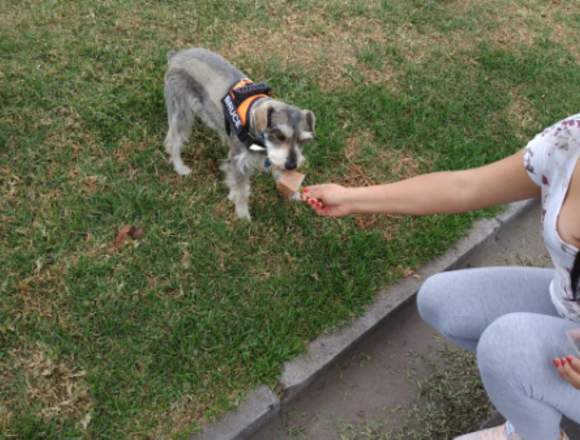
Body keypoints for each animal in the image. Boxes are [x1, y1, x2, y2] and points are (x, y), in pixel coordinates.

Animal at [163, 48, 318, 220]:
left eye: (303, 141)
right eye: (279, 135)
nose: (292, 165)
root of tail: (176, 56)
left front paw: (295, 193)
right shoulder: (239, 163)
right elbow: (242, 191)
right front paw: (243, 215)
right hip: (181, 113)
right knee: (173, 142)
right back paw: (180, 167)